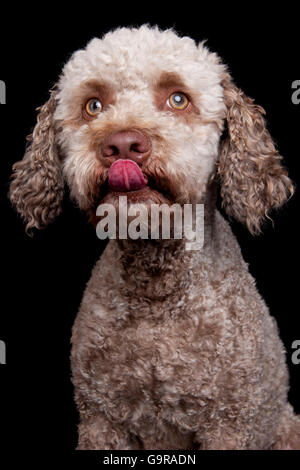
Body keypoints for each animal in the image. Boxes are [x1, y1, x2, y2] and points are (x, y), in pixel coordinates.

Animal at [9, 26, 300, 452]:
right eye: (93, 106)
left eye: (178, 98)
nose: (122, 144)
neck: (157, 292)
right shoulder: (100, 419)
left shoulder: (230, 424)